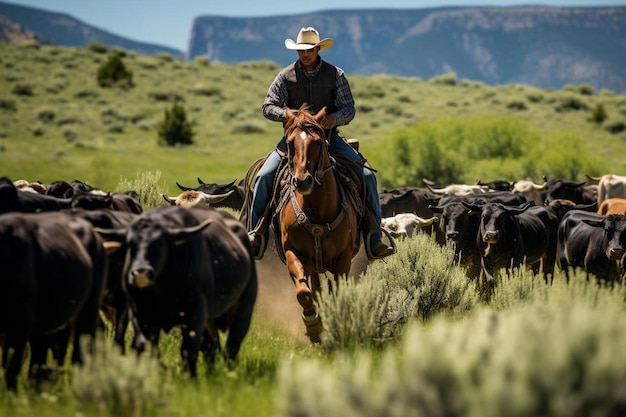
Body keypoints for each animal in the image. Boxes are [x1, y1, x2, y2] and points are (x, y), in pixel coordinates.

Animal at [95, 206, 256, 376]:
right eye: (129, 244)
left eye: (160, 243)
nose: (141, 273)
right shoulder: (139, 314)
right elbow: (145, 345)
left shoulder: (196, 310)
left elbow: (189, 348)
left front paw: (188, 377)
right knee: (211, 345)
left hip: (244, 307)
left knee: (233, 342)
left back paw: (227, 370)